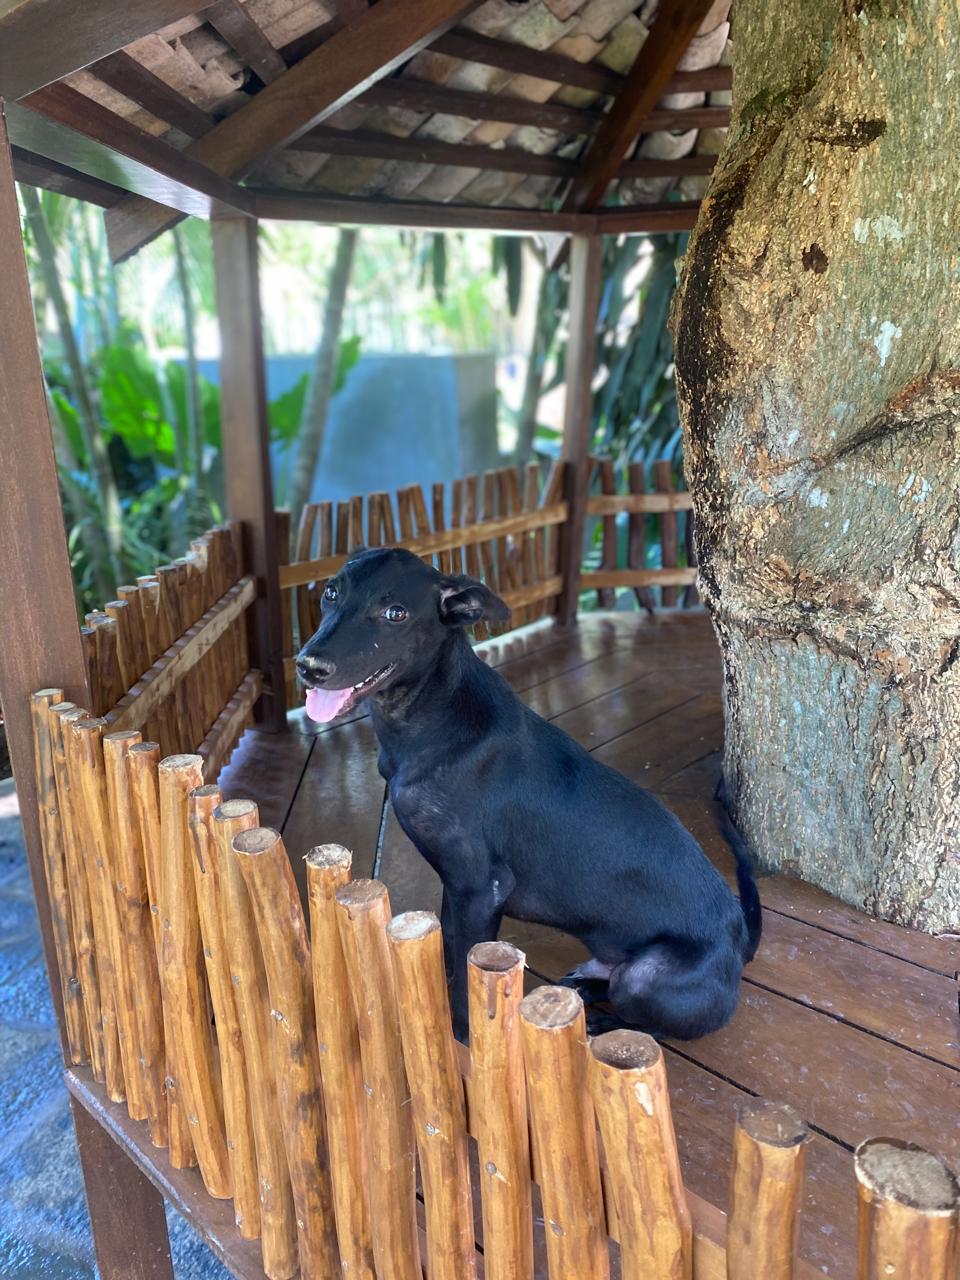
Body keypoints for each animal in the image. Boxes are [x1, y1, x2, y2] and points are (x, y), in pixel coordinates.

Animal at [296, 545, 762, 1034]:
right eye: (331, 593)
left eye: (395, 613)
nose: (308, 667)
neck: (429, 716)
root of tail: (739, 944)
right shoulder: (457, 884)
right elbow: (448, 950)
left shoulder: (483, 887)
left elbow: (466, 974)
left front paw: (465, 1037)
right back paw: (585, 987)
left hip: (645, 976)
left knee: (646, 1020)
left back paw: (600, 1023)